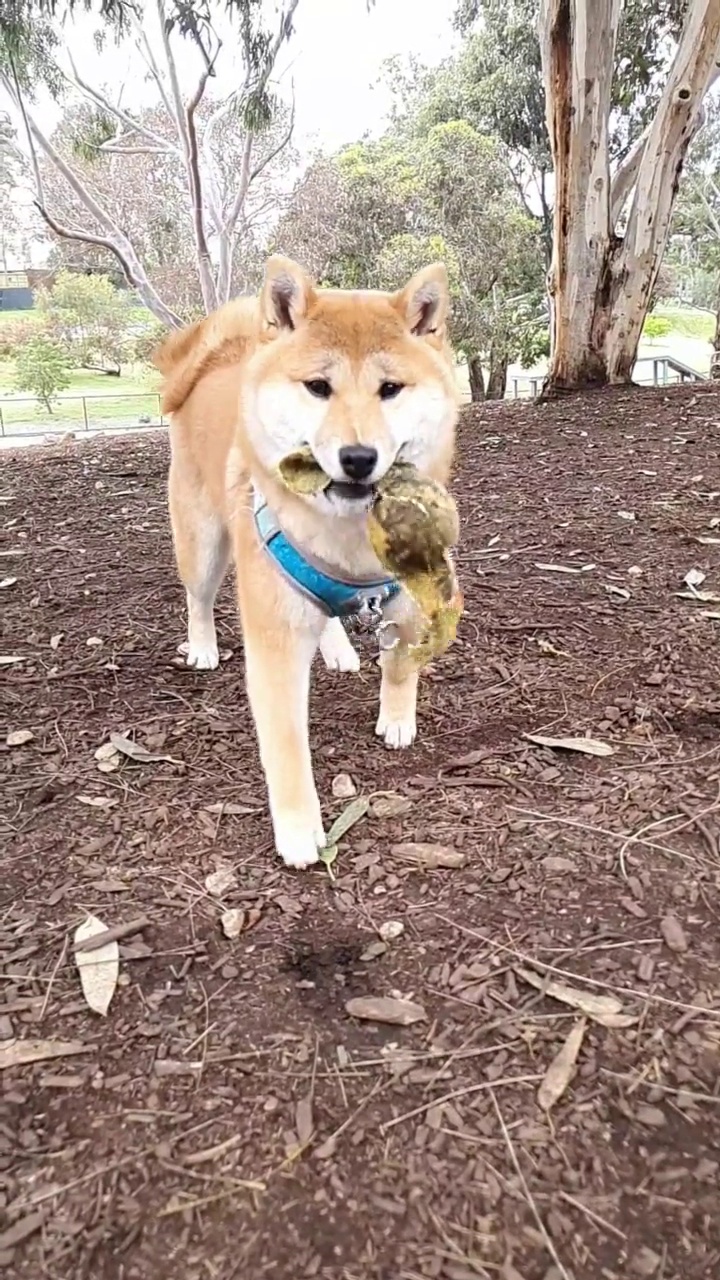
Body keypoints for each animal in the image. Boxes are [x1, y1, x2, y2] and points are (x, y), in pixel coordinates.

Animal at [155, 249, 458, 870]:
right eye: (319, 386)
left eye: (390, 388)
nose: (358, 456)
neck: (348, 543)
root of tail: (216, 358)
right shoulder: (275, 646)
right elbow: (287, 747)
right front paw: (298, 829)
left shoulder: (406, 602)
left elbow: (400, 668)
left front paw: (397, 718)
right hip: (201, 543)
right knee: (197, 597)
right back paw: (202, 647)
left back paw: (339, 649)